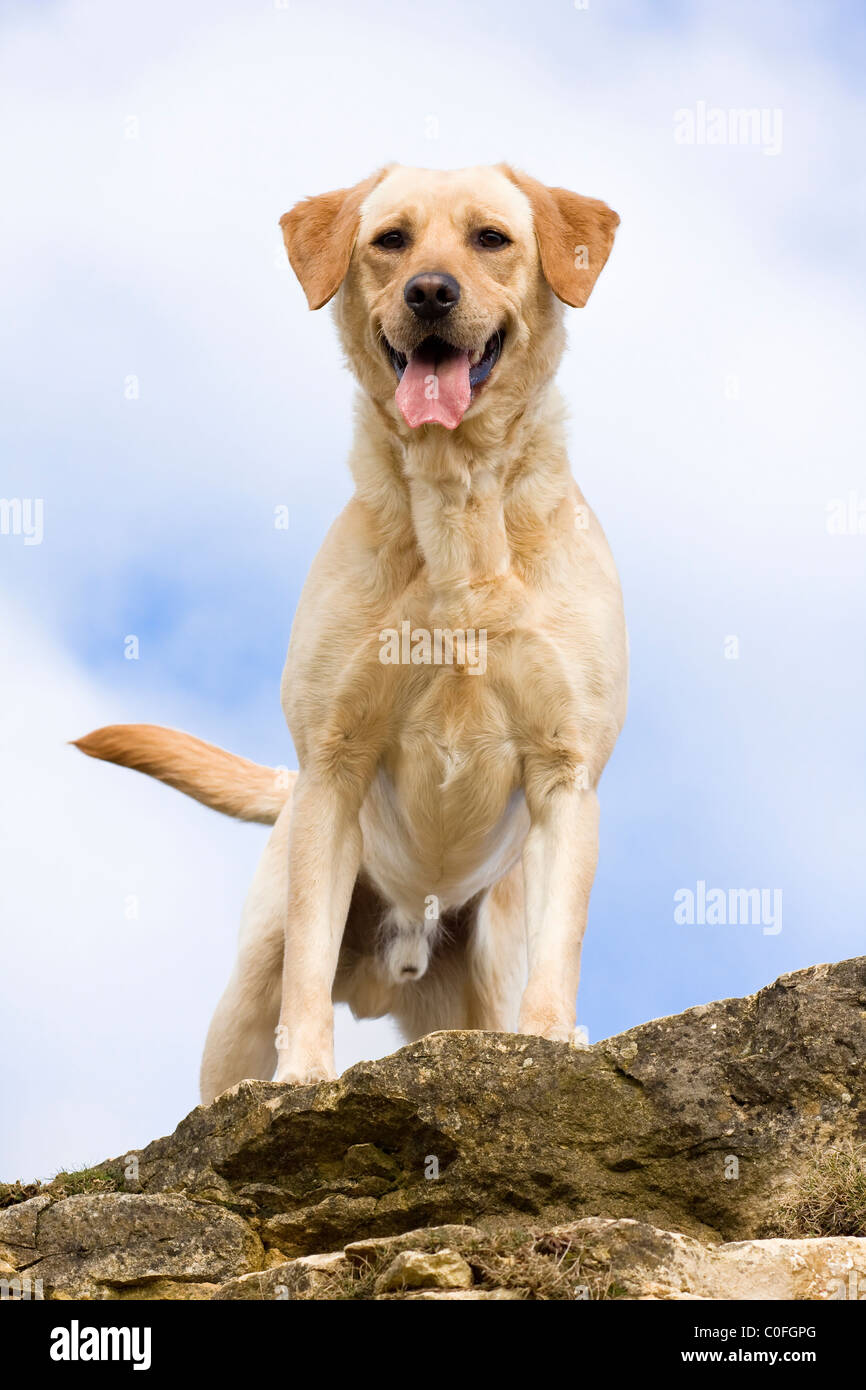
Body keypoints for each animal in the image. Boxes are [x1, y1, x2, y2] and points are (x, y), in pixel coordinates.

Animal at [76, 165, 622, 1095]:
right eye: (391, 239)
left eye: (491, 238)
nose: (430, 292)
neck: (454, 507)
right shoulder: (332, 767)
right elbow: (305, 968)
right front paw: (303, 1078)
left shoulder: (565, 768)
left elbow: (565, 944)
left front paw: (553, 1042)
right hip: (245, 983)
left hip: (484, 967)